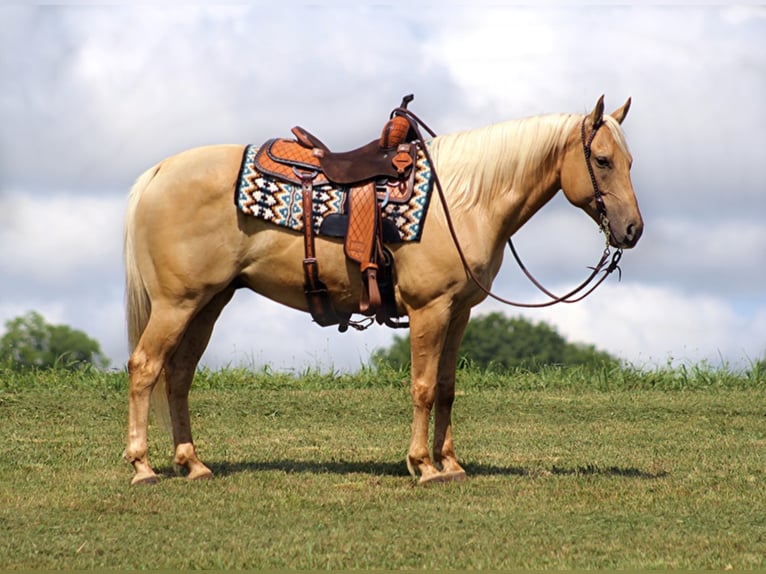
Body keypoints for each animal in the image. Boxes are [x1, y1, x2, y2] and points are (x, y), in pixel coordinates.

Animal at [123, 94, 644, 486]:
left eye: (629, 161)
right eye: (602, 160)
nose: (632, 229)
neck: (463, 201)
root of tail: (158, 172)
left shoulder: (459, 311)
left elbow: (447, 387)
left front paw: (451, 463)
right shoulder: (430, 309)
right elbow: (423, 386)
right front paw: (424, 466)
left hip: (209, 302)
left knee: (179, 375)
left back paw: (192, 463)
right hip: (177, 304)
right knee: (145, 367)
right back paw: (143, 466)